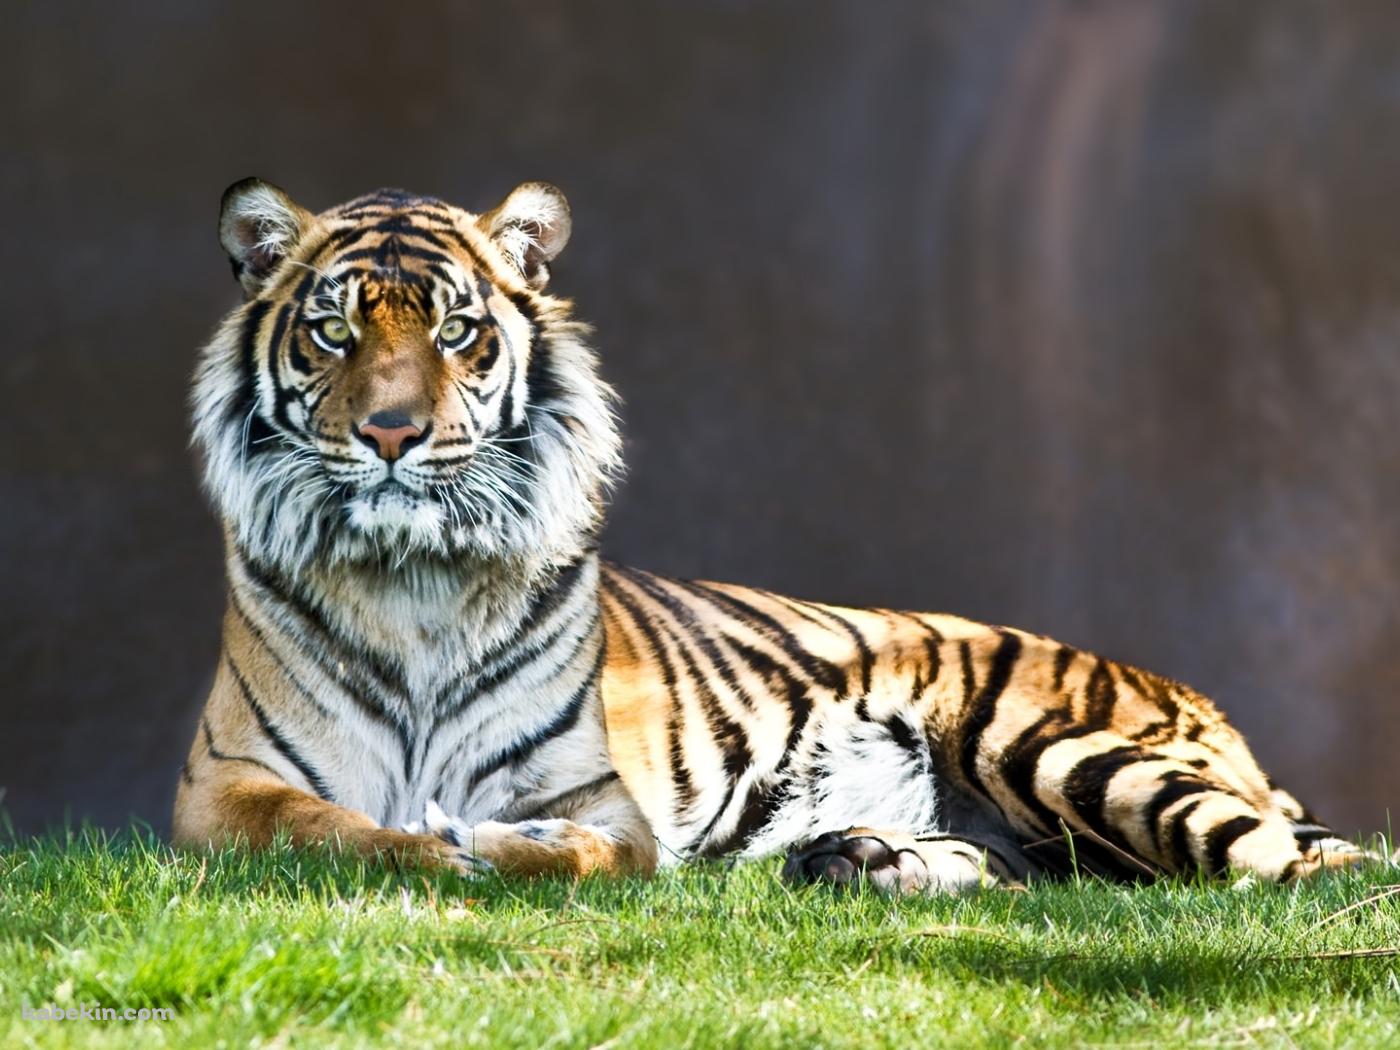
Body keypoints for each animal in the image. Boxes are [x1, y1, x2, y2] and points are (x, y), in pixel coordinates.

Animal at [173, 177, 1373, 894]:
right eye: (333, 332)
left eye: (457, 331)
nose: (391, 432)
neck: (414, 581)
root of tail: (1204, 705)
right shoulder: (222, 792)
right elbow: (336, 830)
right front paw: (435, 845)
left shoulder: (602, 801)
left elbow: (579, 853)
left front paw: (493, 846)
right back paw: (862, 858)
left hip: (1062, 749)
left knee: (1310, 869)